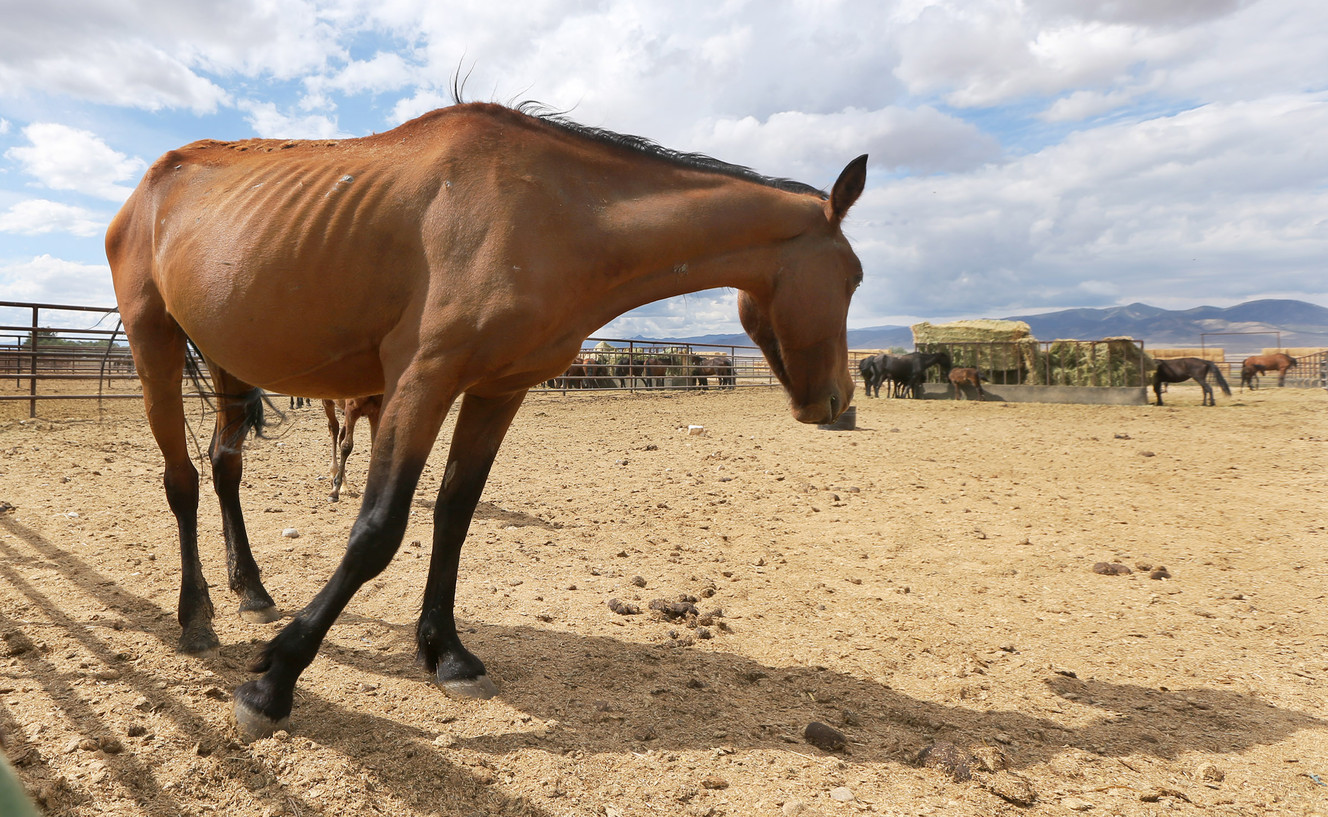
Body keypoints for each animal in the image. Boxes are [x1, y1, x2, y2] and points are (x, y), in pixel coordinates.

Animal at [106, 101, 866, 740]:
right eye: (855, 277)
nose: (837, 400)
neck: (550, 212)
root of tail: (147, 188)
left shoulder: (500, 391)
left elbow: (455, 515)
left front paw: (446, 653)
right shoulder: (420, 381)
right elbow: (376, 533)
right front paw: (275, 680)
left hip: (229, 355)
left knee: (225, 467)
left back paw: (252, 589)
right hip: (154, 343)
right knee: (181, 482)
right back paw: (195, 616)